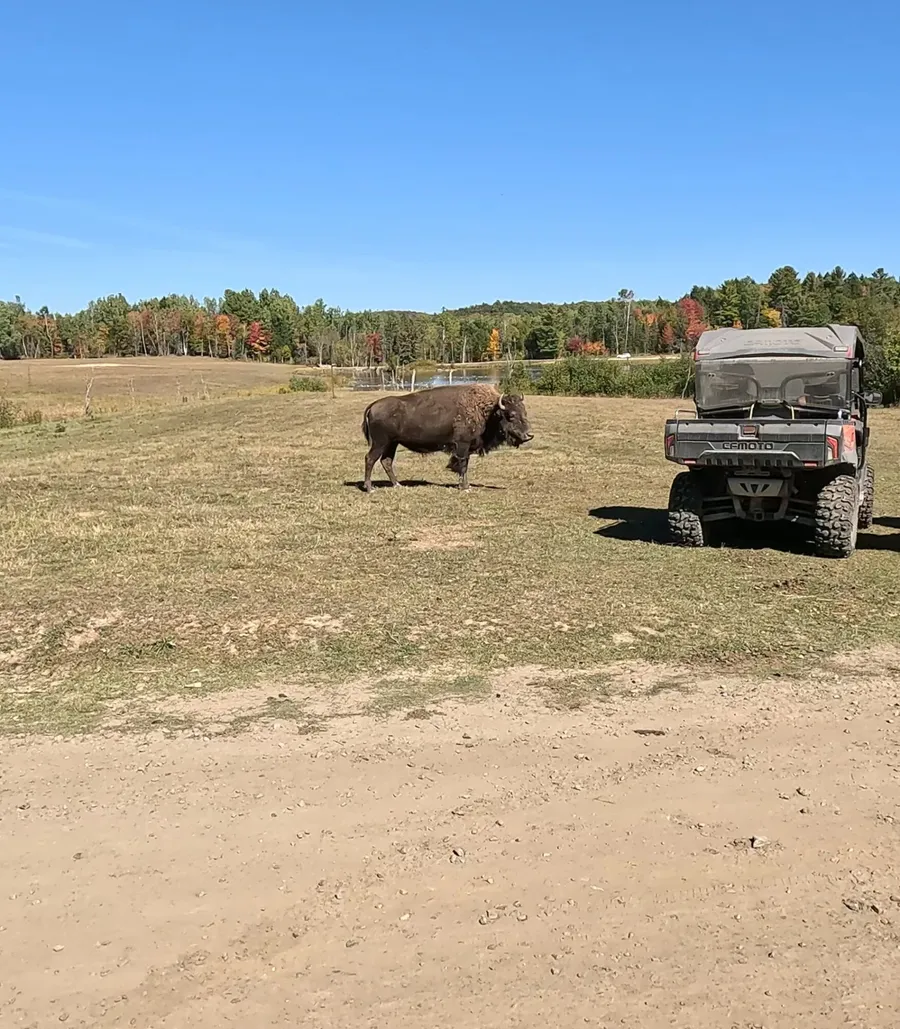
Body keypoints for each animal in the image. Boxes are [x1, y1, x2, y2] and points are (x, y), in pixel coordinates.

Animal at [361, 383, 533, 492]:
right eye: (511, 415)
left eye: (524, 412)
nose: (529, 435)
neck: (487, 411)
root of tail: (373, 406)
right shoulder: (462, 445)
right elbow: (462, 465)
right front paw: (464, 487)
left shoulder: (466, 448)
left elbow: (464, 465)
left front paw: (466, 485)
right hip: (380, 443)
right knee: (370, 459)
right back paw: (370, 488)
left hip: (392, 443)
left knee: (386, 461)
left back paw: (397, 485)